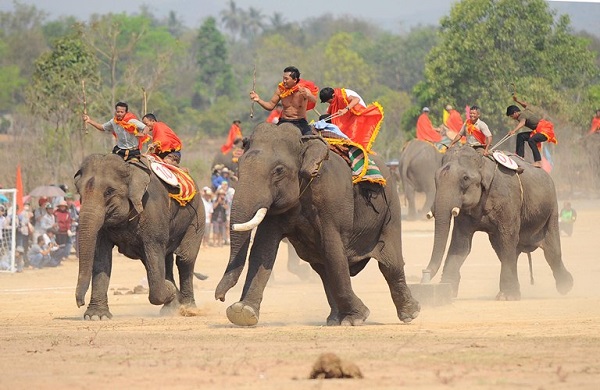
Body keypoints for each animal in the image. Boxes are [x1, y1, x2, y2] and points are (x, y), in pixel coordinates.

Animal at [72, 153, 204, 320]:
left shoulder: (152, 210)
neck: (129, 166)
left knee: (184, 259)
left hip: (198, 215)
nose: (80, 303)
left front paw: (170, 289)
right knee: (164, 260)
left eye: (109, 191)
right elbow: (101, 256)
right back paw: (171, 307)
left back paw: (188, 308)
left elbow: (154, 251)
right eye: (79, 192)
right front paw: (96, 316)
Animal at [213, 122, 420, 326]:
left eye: (278, 170)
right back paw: (335, 320)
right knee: (322, 267)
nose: (220, 298)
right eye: (238, 166)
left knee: (389, 263)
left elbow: (333, 250)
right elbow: (263, 249)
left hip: (390, 208)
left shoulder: (330, 198)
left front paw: (357, 318)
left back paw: (410, 313)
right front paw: (242, 312)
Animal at [422, 145, 572, 300]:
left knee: (551, 251)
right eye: (435, 177)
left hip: (552, 208)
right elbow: (460, 243)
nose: (424, 274)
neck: (482, 161)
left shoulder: (508, 200)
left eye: (465, 178)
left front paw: (508, 297)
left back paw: (566, 286)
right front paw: (446, 292)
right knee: (505, 250)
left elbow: (508, 237)